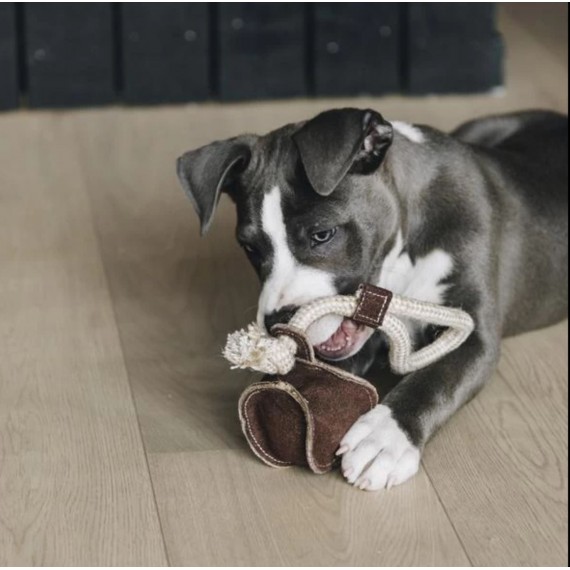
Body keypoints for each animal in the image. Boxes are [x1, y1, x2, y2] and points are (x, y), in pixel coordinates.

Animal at [175, 108, 564, 490]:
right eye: (250, 248)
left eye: (322, 234)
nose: (276, 322)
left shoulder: (473, 333)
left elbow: (434, 380)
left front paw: (385, 438)